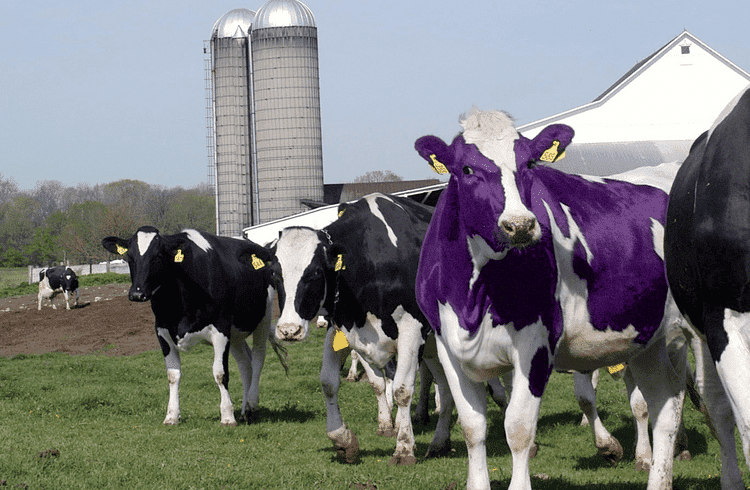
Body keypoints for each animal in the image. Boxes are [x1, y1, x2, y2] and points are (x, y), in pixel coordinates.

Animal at [102, 226, 283, 427]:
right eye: (130, 257)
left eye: (158, 256)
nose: (137, 294)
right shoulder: (162, 331)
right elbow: (173, 375)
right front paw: (171, 416)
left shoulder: (221, 329)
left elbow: (220, 373)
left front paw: (227, 416)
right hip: (236, 333)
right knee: (245, 365)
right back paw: (245, 411)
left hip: (264, 318)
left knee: (258, 359)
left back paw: (252, 404)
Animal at [271, 193, 455, 466]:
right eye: (274, 274)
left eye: (315, 273)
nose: (288, 330)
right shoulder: (343, 329)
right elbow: (330, 383)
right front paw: (343, 439)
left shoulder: (411, 329)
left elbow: (401, 389)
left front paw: (403, 449)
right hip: (434, 347)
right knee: (445, 385)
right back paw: (440, 443)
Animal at [414, 109, 686, 490]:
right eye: (466, 169)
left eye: (529, 163)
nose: (520, 225)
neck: (473, 298)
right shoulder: (448, 347)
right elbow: (472, 428)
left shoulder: (535, 345)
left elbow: (518, 430)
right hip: (651, 339)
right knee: (665, 403)